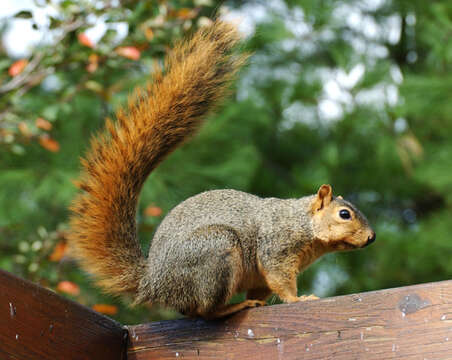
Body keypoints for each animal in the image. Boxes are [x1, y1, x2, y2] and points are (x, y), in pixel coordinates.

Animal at [69, 20, 376, 318]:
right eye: (345, 214)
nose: (371, 237)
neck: (303, 223)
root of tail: (153, 284)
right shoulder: (276, 248)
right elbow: (279, 279)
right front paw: (298, 299)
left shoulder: (261, 277)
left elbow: (264, 287)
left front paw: (268, 301)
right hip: (216, 251)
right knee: (204, 311)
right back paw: (233, 307)